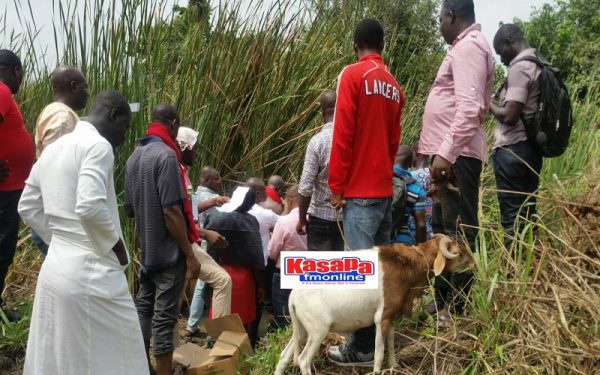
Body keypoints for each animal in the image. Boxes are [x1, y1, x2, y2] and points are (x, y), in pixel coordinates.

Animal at [274, 234, 476, 374]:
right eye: (459, 252)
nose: (474, 262)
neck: (406, 266)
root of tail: (293, 296)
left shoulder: (391, 315)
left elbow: (391, 342)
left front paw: (394, 365)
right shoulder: (381, 318)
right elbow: (379, 352)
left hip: (302, 329)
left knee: (284, 356)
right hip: (318, 331)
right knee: (303, 360)